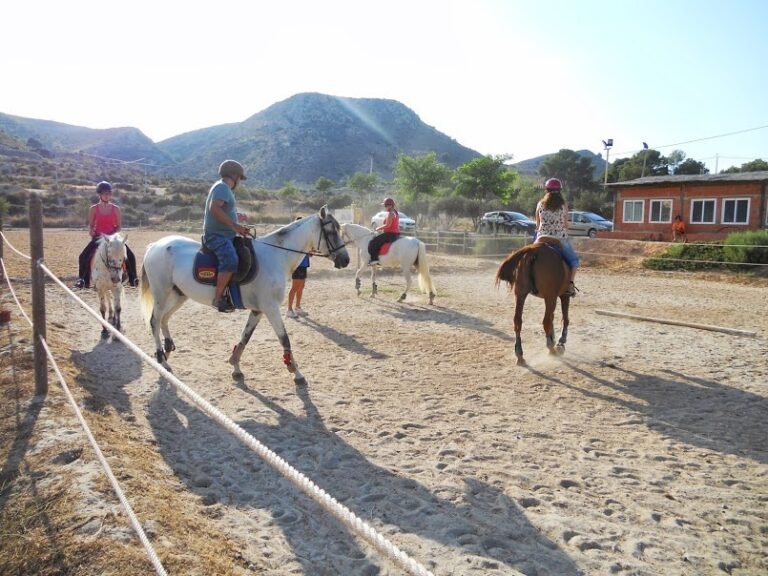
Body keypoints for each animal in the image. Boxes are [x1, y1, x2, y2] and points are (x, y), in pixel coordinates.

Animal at [139, 206, 350, 384]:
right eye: (332, 232)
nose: (345, 260)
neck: (276, 256)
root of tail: (155, 245)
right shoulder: (270, 308)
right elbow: (284, 338)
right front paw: (295, 372)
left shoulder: (258, 310)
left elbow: (245, 337)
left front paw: (235, 366)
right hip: (161, 293)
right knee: (155, 320)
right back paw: (162, 361)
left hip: (178, 295)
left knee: (164, 318)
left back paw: (166, 349)